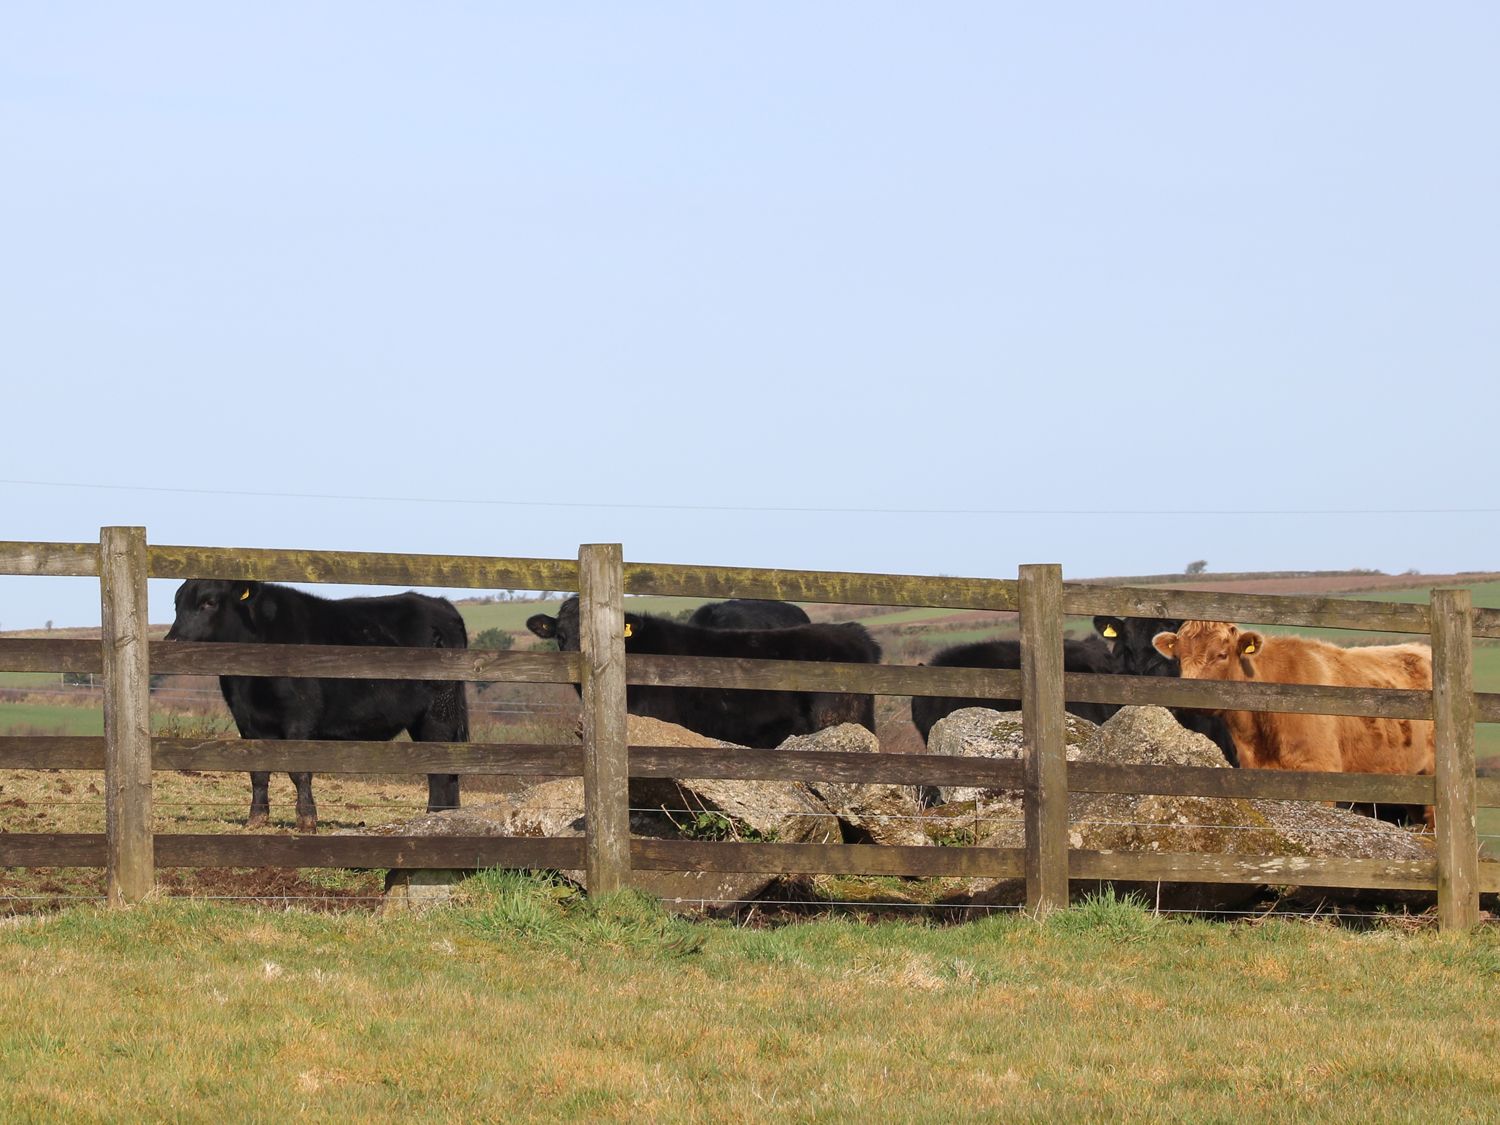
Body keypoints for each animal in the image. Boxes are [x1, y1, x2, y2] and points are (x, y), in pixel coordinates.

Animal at [165, 579, 470, 832]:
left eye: (209, 602)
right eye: (177, 604)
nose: (172, 640)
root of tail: (440, 604)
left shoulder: (299, 719)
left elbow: (299, 771)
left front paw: (307, 821)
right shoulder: (248, 720)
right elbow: (258, 771)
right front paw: (256, 819)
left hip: (438, 714)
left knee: (439, 770)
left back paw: (433, 817)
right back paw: (449, 818)